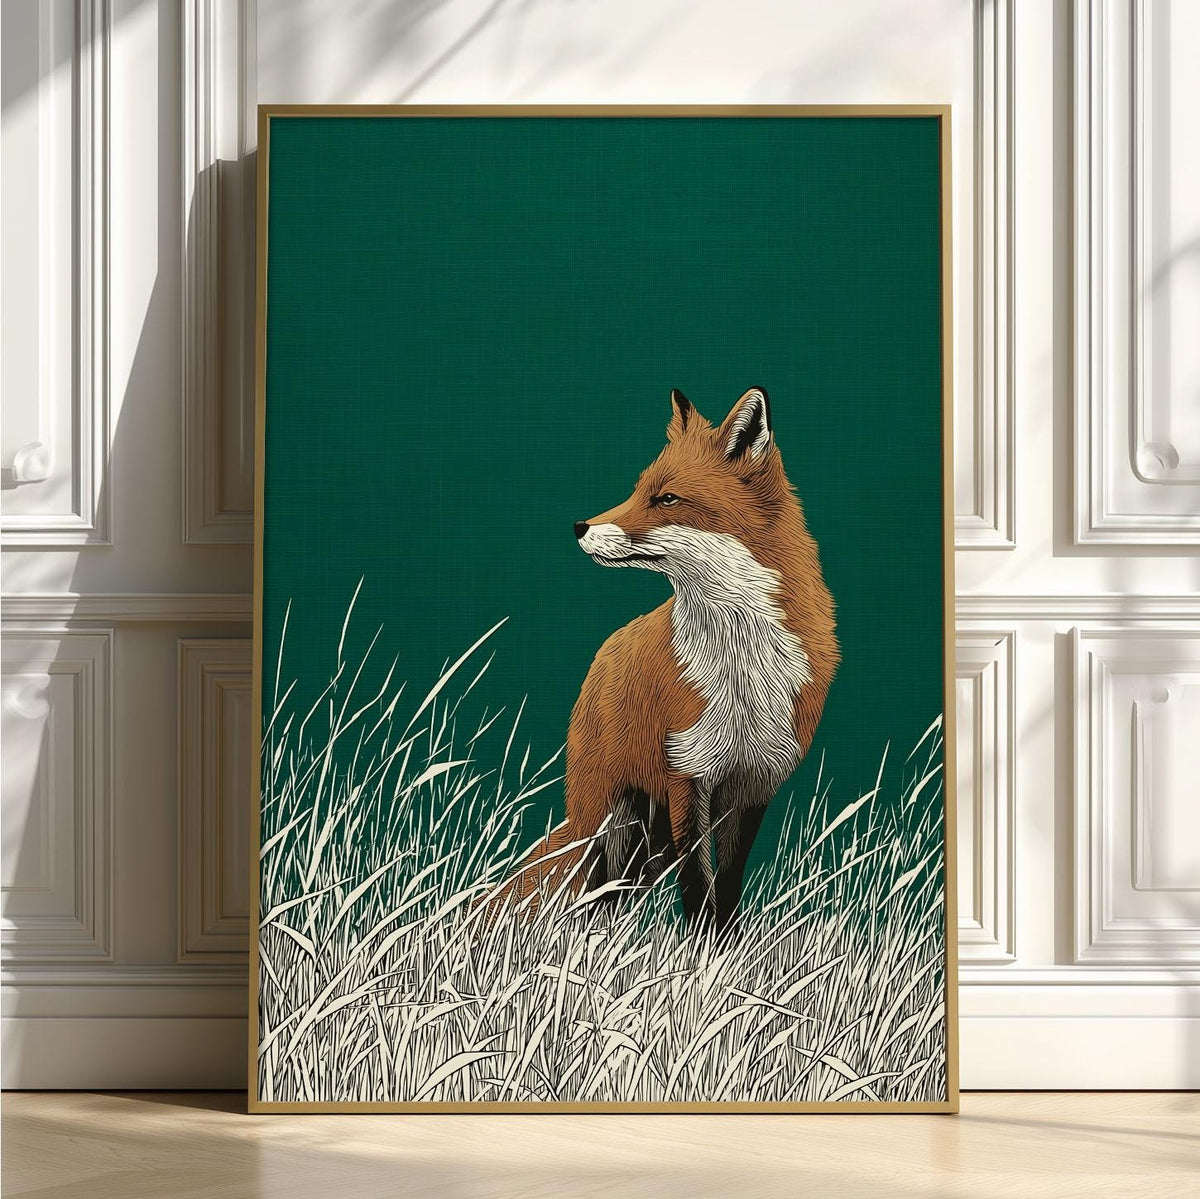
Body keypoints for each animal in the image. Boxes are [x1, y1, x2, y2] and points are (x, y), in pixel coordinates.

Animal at [491, 386, 839, 930]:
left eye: (667, 499)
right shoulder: (686, 776)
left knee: (614, 894)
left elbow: (727, 887)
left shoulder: (753, 788)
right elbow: (698, 886)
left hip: (646, 846)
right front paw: (699, 949)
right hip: (607, 825)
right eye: (638, 491)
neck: (742, 666)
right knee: (590, 893)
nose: (579, 526)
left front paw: (723, 947)